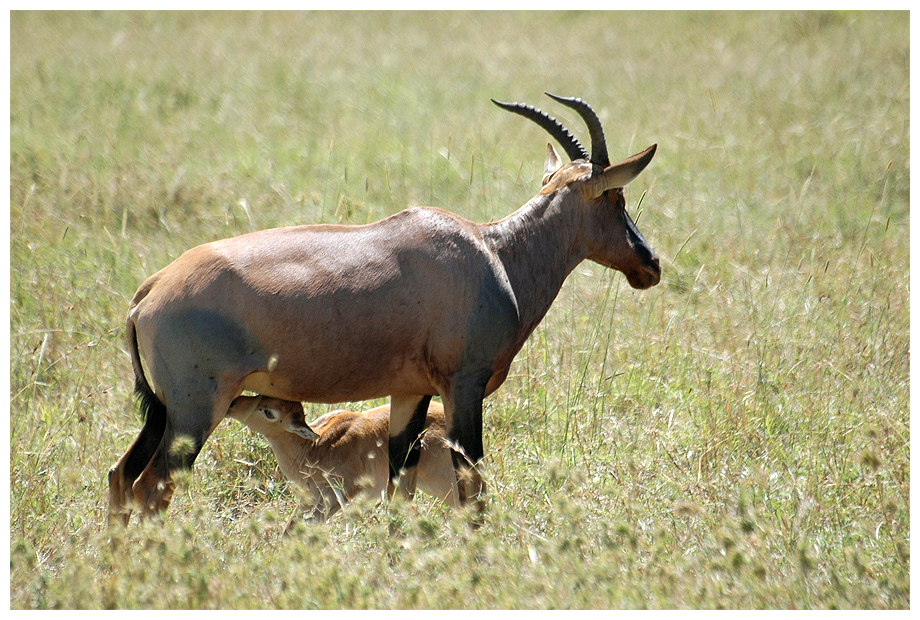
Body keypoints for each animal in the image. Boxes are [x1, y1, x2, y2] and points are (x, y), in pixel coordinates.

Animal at [108, 93, 660, 524]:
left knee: (120, 476)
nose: (650, 264)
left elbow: (400, 484)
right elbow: (471, 486)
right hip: (196, 410)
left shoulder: (409, 393)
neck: (492, 252)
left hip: (163, 410)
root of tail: (150, 291)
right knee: (151, 488)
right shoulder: (464, 387)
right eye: (615, 195)